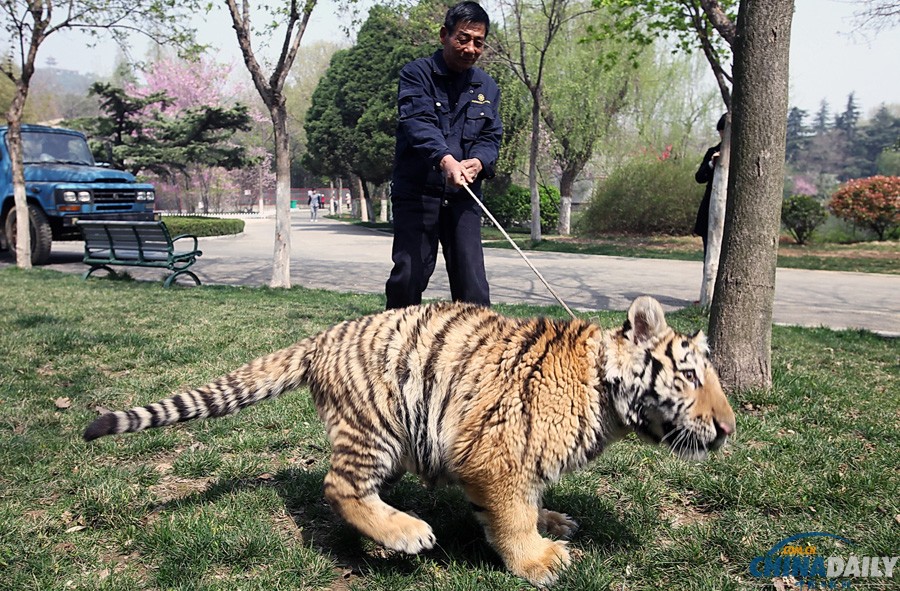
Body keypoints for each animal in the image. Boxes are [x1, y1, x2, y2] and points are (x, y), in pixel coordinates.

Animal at [83, 295, 736, 587]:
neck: (604, 390)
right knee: (338, 486)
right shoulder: (495, 453)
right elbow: (511, 515)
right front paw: (538, 560)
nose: (730, 428)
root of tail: (323, 336)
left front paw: (553, 522)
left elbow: (526, 503)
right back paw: (406, 534)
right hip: (377, 427)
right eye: (691, 377)